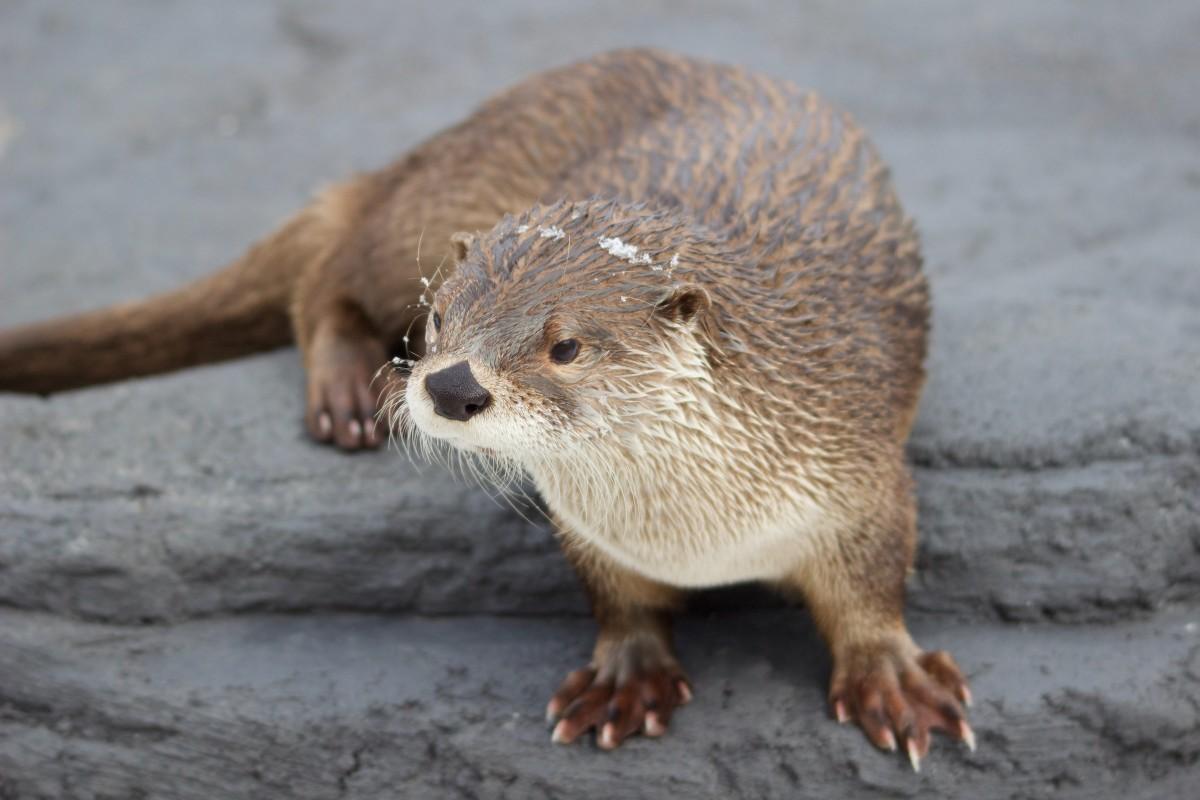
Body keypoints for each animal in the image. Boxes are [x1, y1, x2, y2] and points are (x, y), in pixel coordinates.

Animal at [0, 47, 974, 767]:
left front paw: (894, 678)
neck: (693, 532)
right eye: (440, 318)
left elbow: (872, 585)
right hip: (429, 208)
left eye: (566, 344)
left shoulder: (861, 480)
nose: (449, 383)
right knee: (327, 265)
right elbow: (616, 599)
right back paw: (346, 387)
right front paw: (623, 675)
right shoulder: (592, 530)